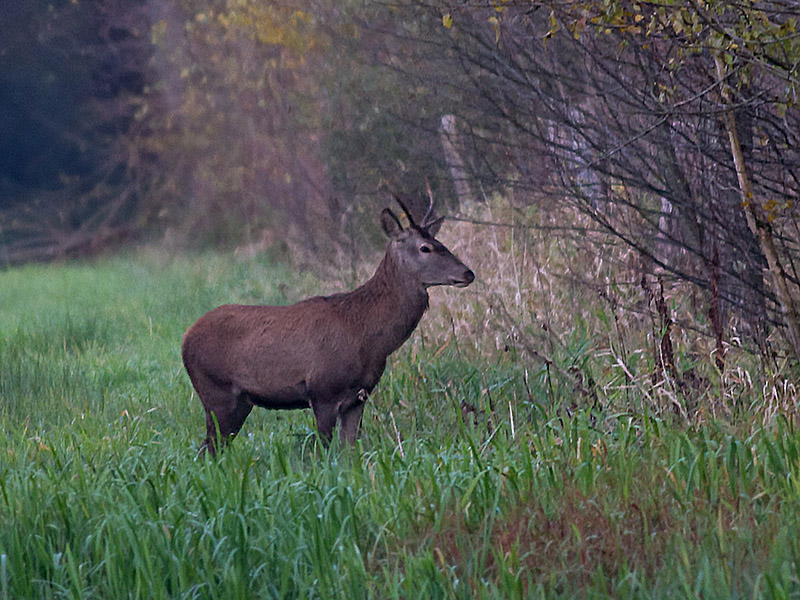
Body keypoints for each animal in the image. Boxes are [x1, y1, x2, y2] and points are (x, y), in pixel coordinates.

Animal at [181, 197, 476, 454]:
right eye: (425, 248)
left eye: (440, 241)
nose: (468, 273)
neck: (369, 336)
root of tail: (185, 339)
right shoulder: (323, 390)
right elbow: (323, 451)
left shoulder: (358, 397)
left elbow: (348, 451)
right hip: (216, 392)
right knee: (208, 450)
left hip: (240, 401)